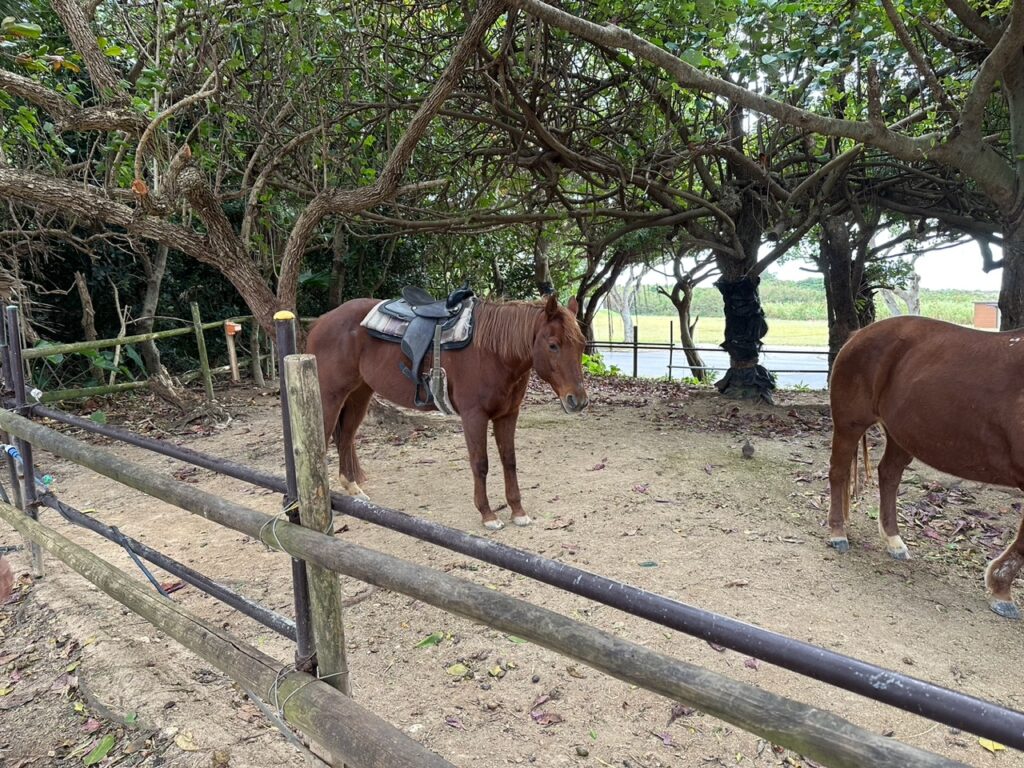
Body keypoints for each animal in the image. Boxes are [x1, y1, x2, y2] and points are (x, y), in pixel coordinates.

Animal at [305, 293, 589, 530]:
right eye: (553, 345)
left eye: (582, 344)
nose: (578, 400)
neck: (494, 352)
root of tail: (320, 322)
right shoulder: (474, 416)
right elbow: (480, 463)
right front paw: (488, 515)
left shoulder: (508, 415)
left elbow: (509, 460)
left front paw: (518, 511)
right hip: (329, 396)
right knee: (322, 440)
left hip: (359, 394)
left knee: (345, 437)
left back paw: (353, 490)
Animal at [827, 314, 1024, 619]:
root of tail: (859, 334)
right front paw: (1001, 591)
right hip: (850, 423)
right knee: (838, 471)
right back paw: (838, 533)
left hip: (900, 435)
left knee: (889, 475)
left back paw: (893, 540)